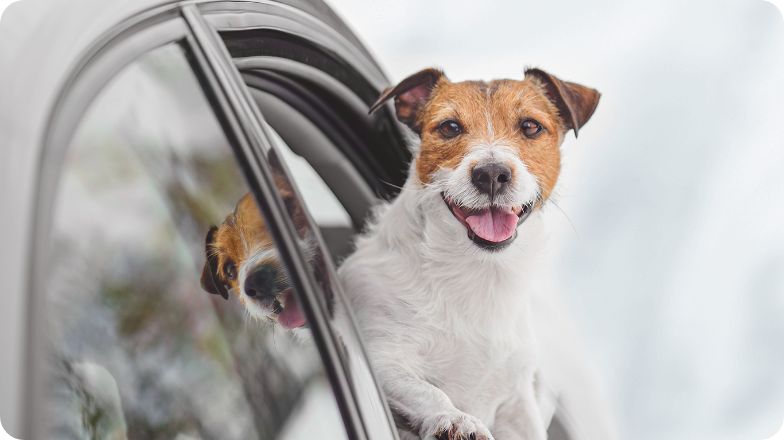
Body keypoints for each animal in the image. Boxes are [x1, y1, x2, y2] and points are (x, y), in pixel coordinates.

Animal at [202, 67, 600, 438]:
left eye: (531, 126)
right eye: (450, 127)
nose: (490, 173)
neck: (473, 274)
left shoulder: (517, 402)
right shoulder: (381, 360)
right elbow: (425, 391)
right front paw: (454, 419)